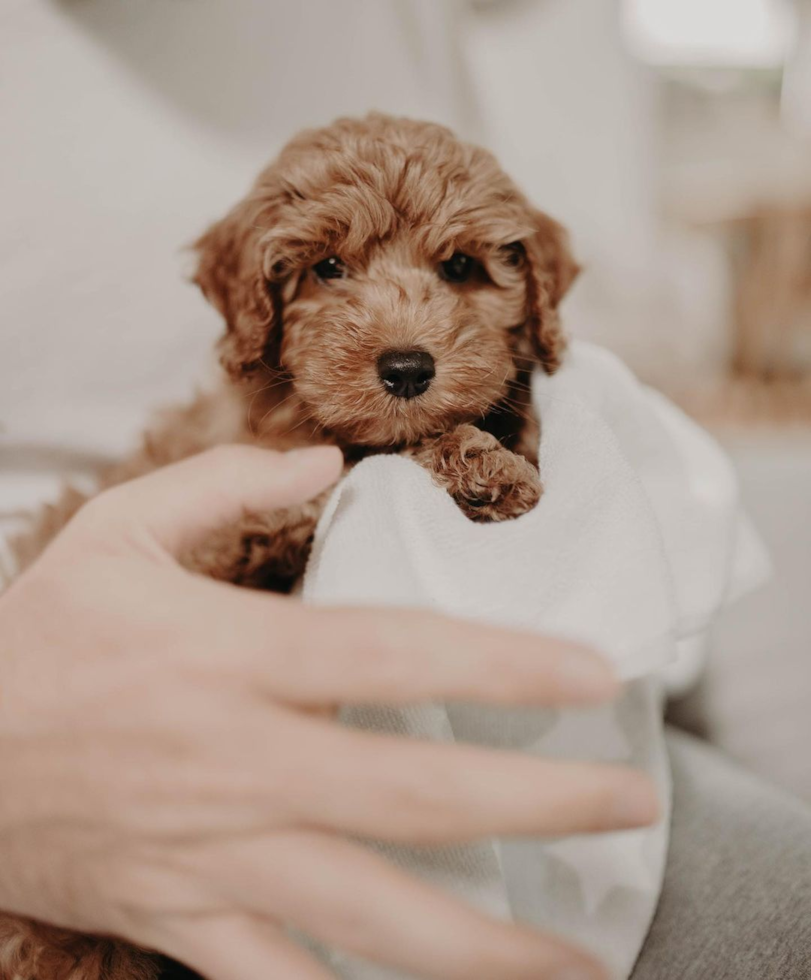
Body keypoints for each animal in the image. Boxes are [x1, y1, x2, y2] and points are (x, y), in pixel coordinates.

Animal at [4, 111, 576, 976]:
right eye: (327, 268)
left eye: (460, 267)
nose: (406, 367)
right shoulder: (221, 526)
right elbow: (340, 476)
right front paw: (478, 466)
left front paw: (501, 447)